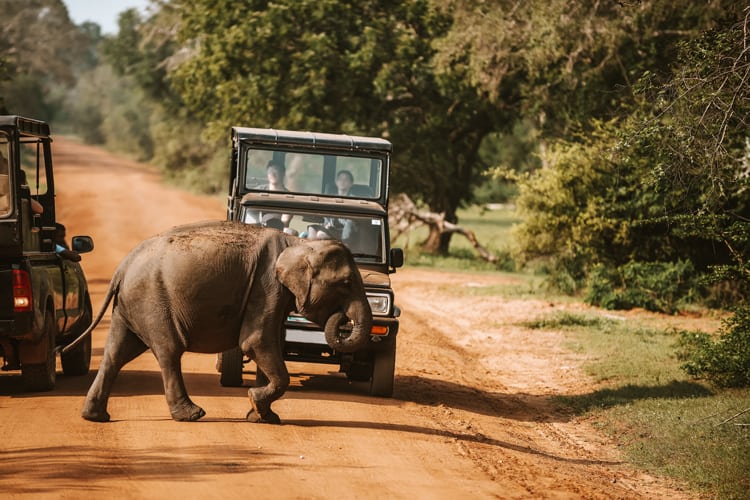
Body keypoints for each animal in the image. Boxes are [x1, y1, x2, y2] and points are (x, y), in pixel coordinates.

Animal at [73, 221, 374, 424]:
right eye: (346, 283)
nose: (341, 317)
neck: (297, 244)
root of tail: (122, 267)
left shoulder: (273, 294)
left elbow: (269, 344)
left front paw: (262, 415)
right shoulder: (266, 287)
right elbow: (255, 342)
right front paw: (256, 403)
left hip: (130, 305)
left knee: (117, 353)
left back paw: (95, 416)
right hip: (152, 300)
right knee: (168, 351)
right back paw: (192, 414)